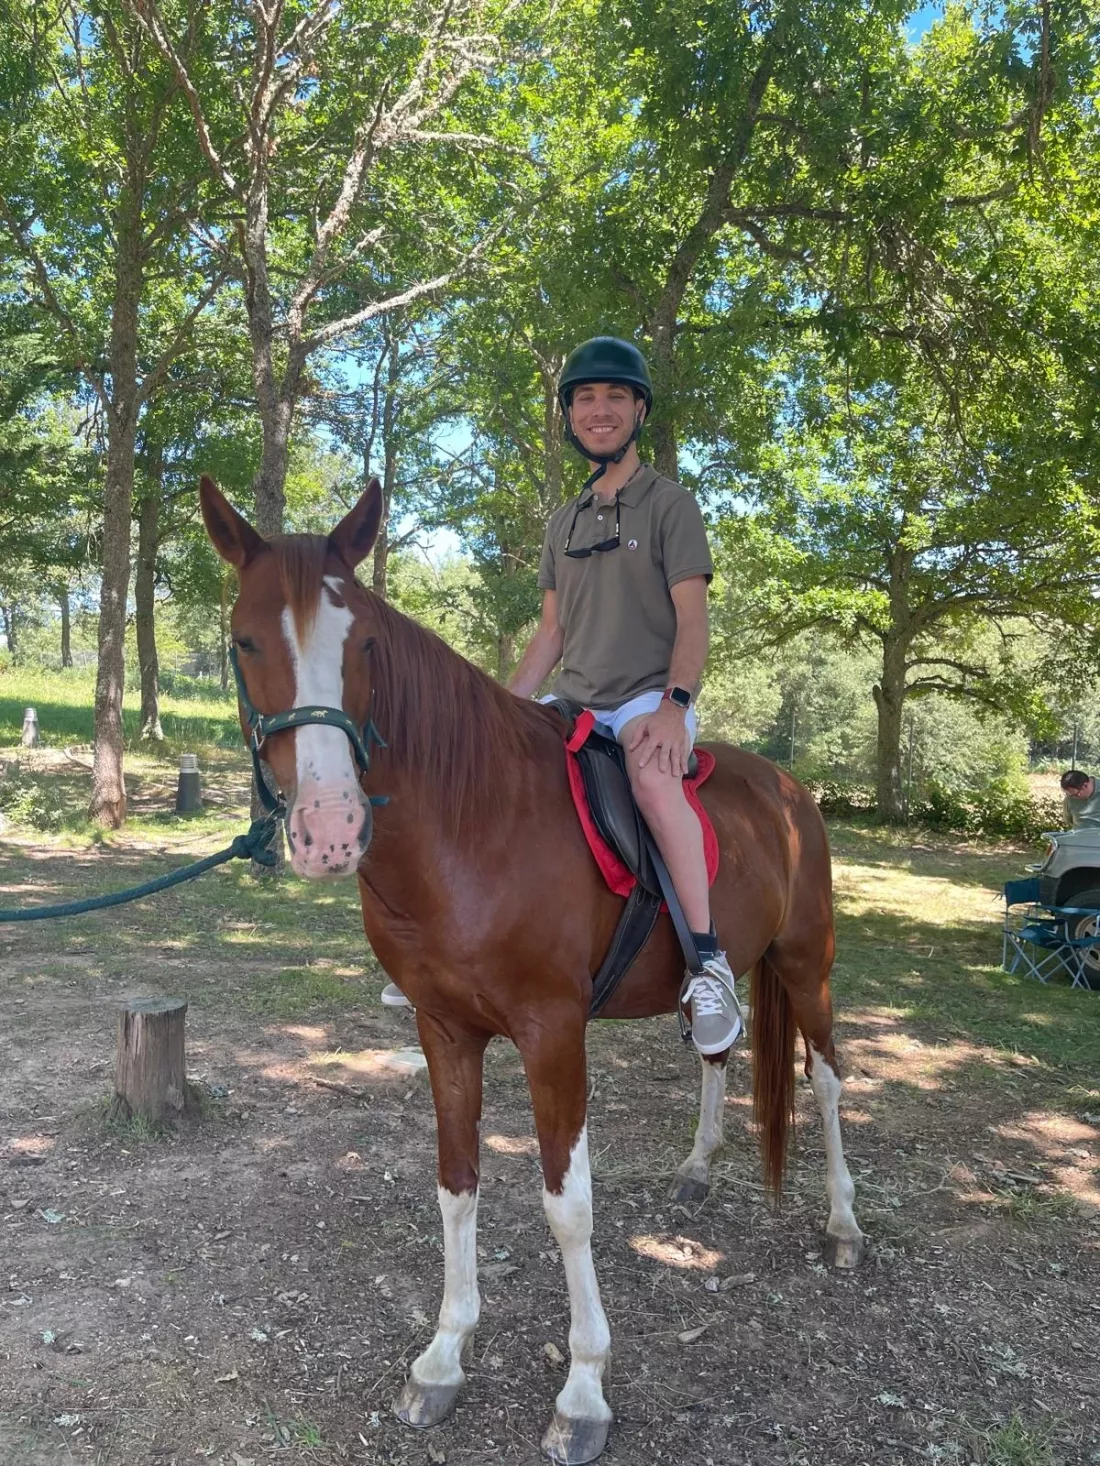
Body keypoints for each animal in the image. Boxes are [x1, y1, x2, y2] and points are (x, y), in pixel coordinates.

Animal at [199, 473, 864, 1466]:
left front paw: (583, 1390)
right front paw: (443, 1359)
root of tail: (791, 793)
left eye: (362, 644)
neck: (473, 823)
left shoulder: (553, 1034)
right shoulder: (444, 1031)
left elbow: (567, 1206)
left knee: (825, 1079)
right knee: (717, 1051)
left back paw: (844, 1222)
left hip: (805, 964)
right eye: (245, 639)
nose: (331, 827)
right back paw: (699, 1167)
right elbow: (456, 1184)